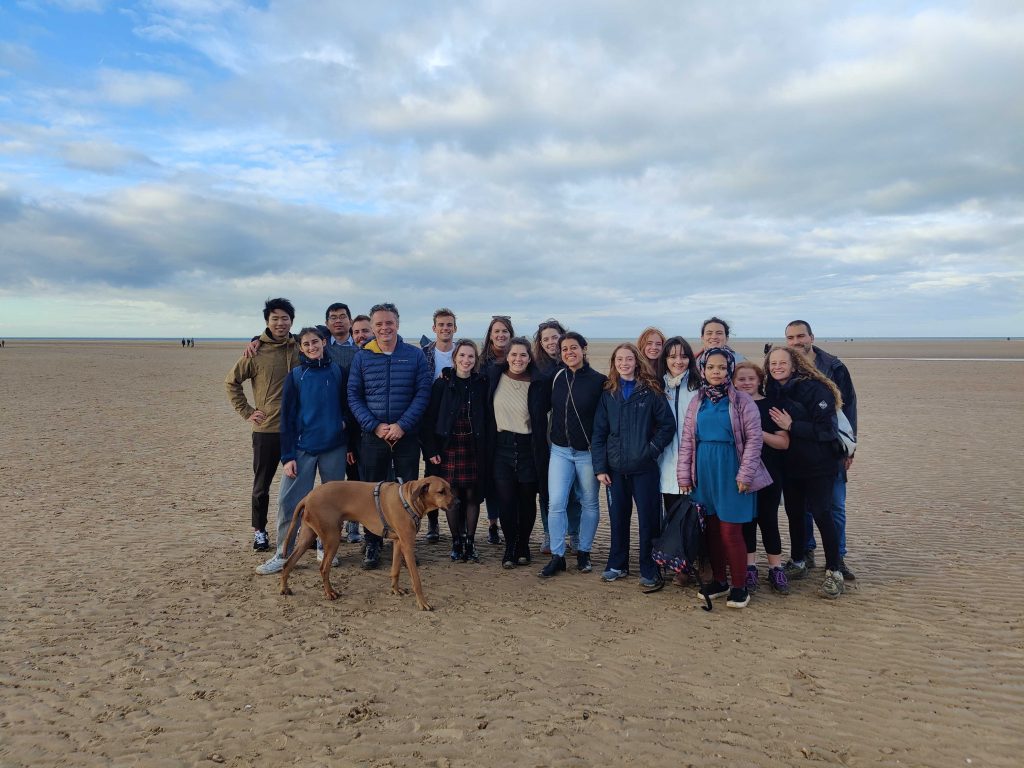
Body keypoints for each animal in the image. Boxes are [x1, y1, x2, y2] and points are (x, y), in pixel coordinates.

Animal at [280, 479, 456, 610]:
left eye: (450, 489)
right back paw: (329, 593)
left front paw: (395, 589)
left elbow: (395, 570)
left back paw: (284, 588)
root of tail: (308, 496)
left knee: (288, 563)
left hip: (307, 536)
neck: (408, 500)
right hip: (332, 538)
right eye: (441, 491)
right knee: (323, 568)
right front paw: (422, 603)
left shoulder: (399, 542)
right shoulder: (407, 545)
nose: (458, 502)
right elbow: (416, 580)